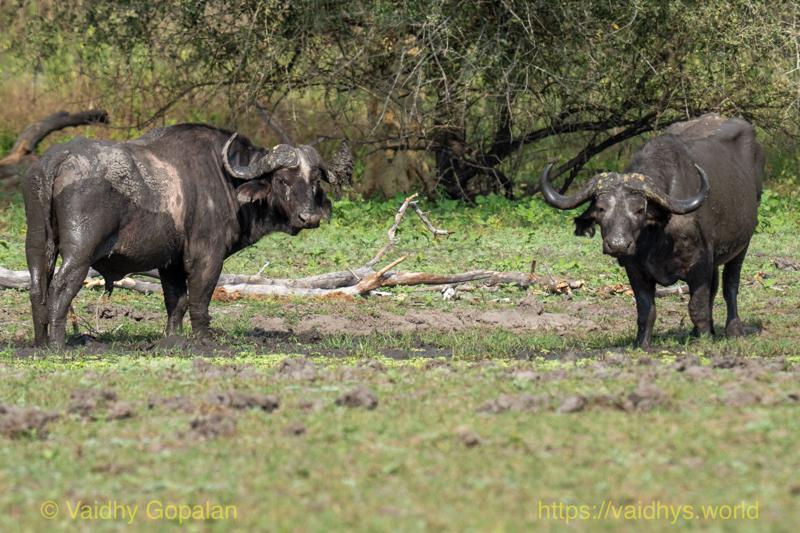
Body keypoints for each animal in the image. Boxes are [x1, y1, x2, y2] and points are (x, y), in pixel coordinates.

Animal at [23, 124, 353, 347]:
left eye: (314, 180)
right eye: (282, 180)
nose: (309, 217)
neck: (226, 179)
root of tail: (60, 158)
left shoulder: (169, 262)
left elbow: (176, 300)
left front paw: (173, 339)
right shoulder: (206, 256)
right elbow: (199, 297)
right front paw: (203, 338)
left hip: (38, 244)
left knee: (38, 287)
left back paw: (40, 342)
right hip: (80, 251)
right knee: (60, 288)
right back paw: (58, 344)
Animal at [540, 114, 764, 348]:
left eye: (640, 210)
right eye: (601, 208)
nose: (618, 244)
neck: (658, 237)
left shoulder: (700, 266)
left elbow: (697, 306)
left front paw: (705, 339)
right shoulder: (636, 271)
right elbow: (646, 310)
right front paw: (643, 344)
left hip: (742, 245)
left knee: (730, 285)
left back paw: (734, 330)